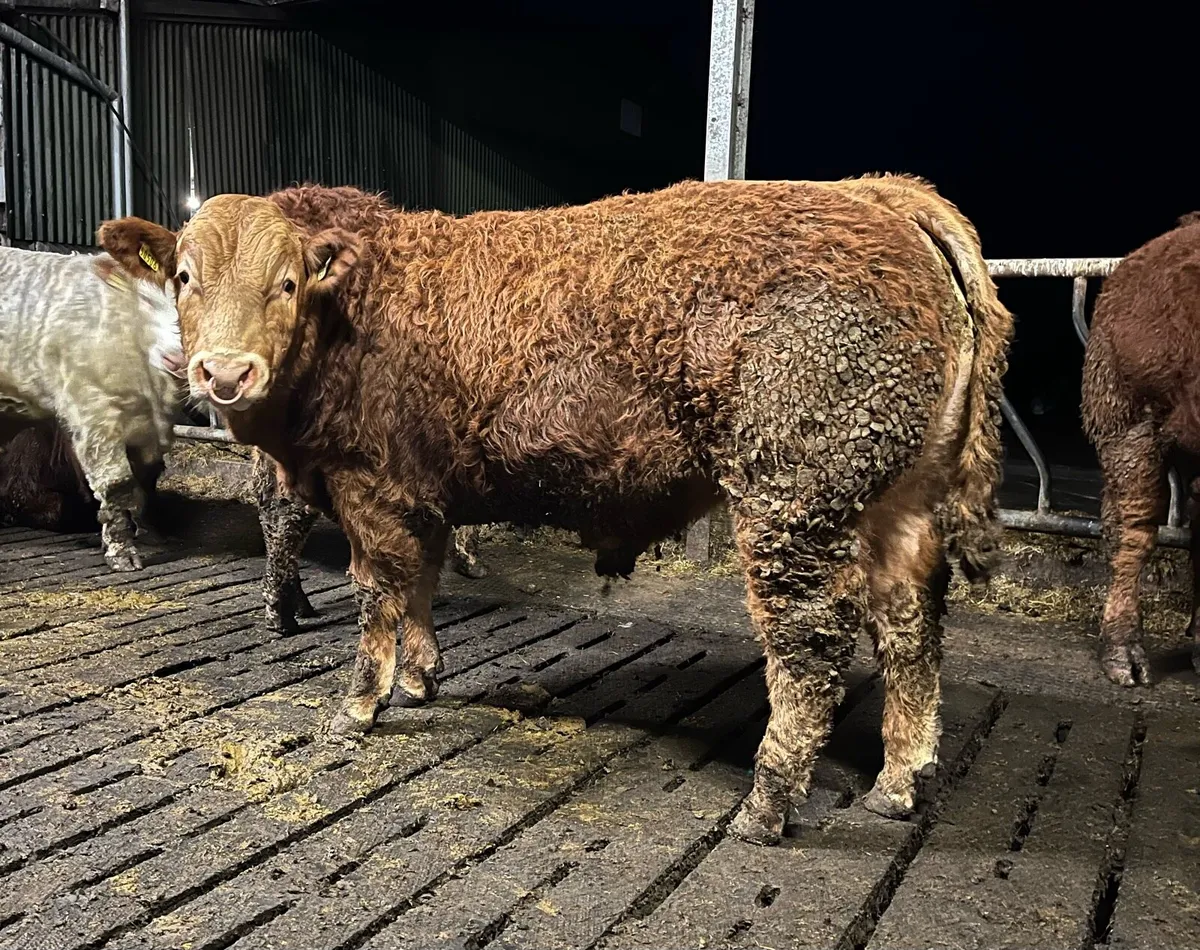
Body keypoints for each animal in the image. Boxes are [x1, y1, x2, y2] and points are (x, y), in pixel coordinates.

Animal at [0, 245, 184, 570]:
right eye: (148, 299)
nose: (176, 359)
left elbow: (145, 481)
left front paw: (147, 532)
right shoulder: (92, 410)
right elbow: (118, 484)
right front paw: (121, 553)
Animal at [98, 174, 1012, 845]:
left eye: (286, 283)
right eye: (185, 278)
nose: (223, 372)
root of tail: (883, 194)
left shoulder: (371, 485)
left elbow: (378, 596)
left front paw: (359, 705)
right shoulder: (420, 490)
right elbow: (420, 585)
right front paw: (423, 676)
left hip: (792, 495)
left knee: (810, 649)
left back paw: (766, 804)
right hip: (896, 502)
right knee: (909, 627)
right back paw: (896, 783)